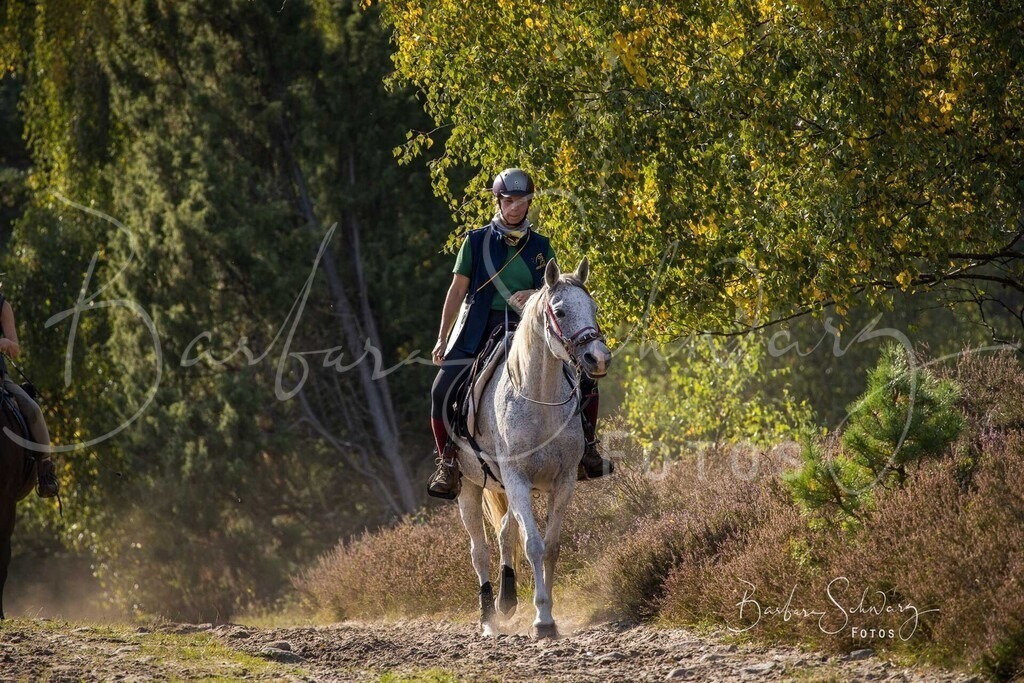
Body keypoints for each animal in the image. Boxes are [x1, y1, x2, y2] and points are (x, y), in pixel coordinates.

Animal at [454, 256, 611, 638]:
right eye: (561, 311)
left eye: (593, 308)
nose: (599, 358)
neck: (539, 399)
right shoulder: (517, 480)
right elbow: (533, 545)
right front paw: (541, 619)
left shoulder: (564, 481)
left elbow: (550, 546)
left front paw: (547, 612)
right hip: (470, 487)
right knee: (480, 550)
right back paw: (488, 618)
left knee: (504, 534)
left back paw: (506, 601)